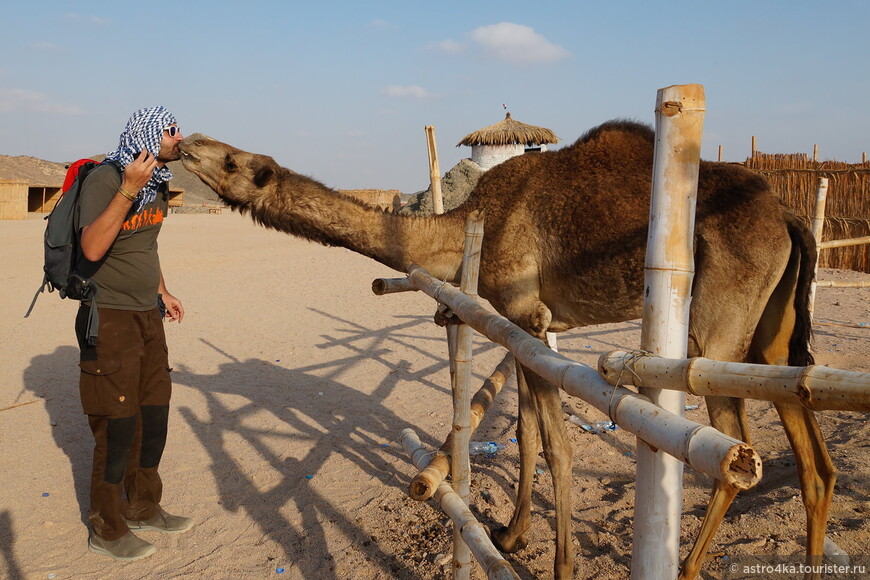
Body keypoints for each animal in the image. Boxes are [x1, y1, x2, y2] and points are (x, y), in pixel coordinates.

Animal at [179, 120, 836, 576]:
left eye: (233, 160)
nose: (182, 144)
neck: (465, 226)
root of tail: (786, 214)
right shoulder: (523, 323)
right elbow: (526, 431)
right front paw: (512, 536)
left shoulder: (525, 312)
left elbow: (559, 446)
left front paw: (562, 566)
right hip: (770, 331)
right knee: (810, 447)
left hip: (717, 328)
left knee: (736, 452)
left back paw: (689, 566)